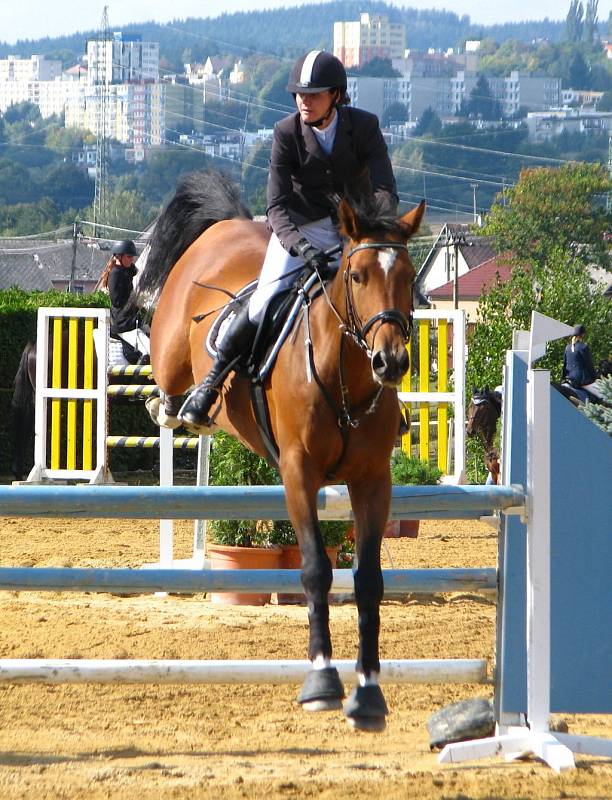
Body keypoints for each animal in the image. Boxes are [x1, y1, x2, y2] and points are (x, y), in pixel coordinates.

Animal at [139, 169, 426, 732]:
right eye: (356, 276)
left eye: (407, 276)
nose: (390, 362)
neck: (344, 376)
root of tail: (228, 223)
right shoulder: (298, 472)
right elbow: (315, 570)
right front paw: (322, 682)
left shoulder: (372, 481)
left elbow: (368, 580)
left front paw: (369, 694)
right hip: (171, 350)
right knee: (168, 383)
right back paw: (180, 405)